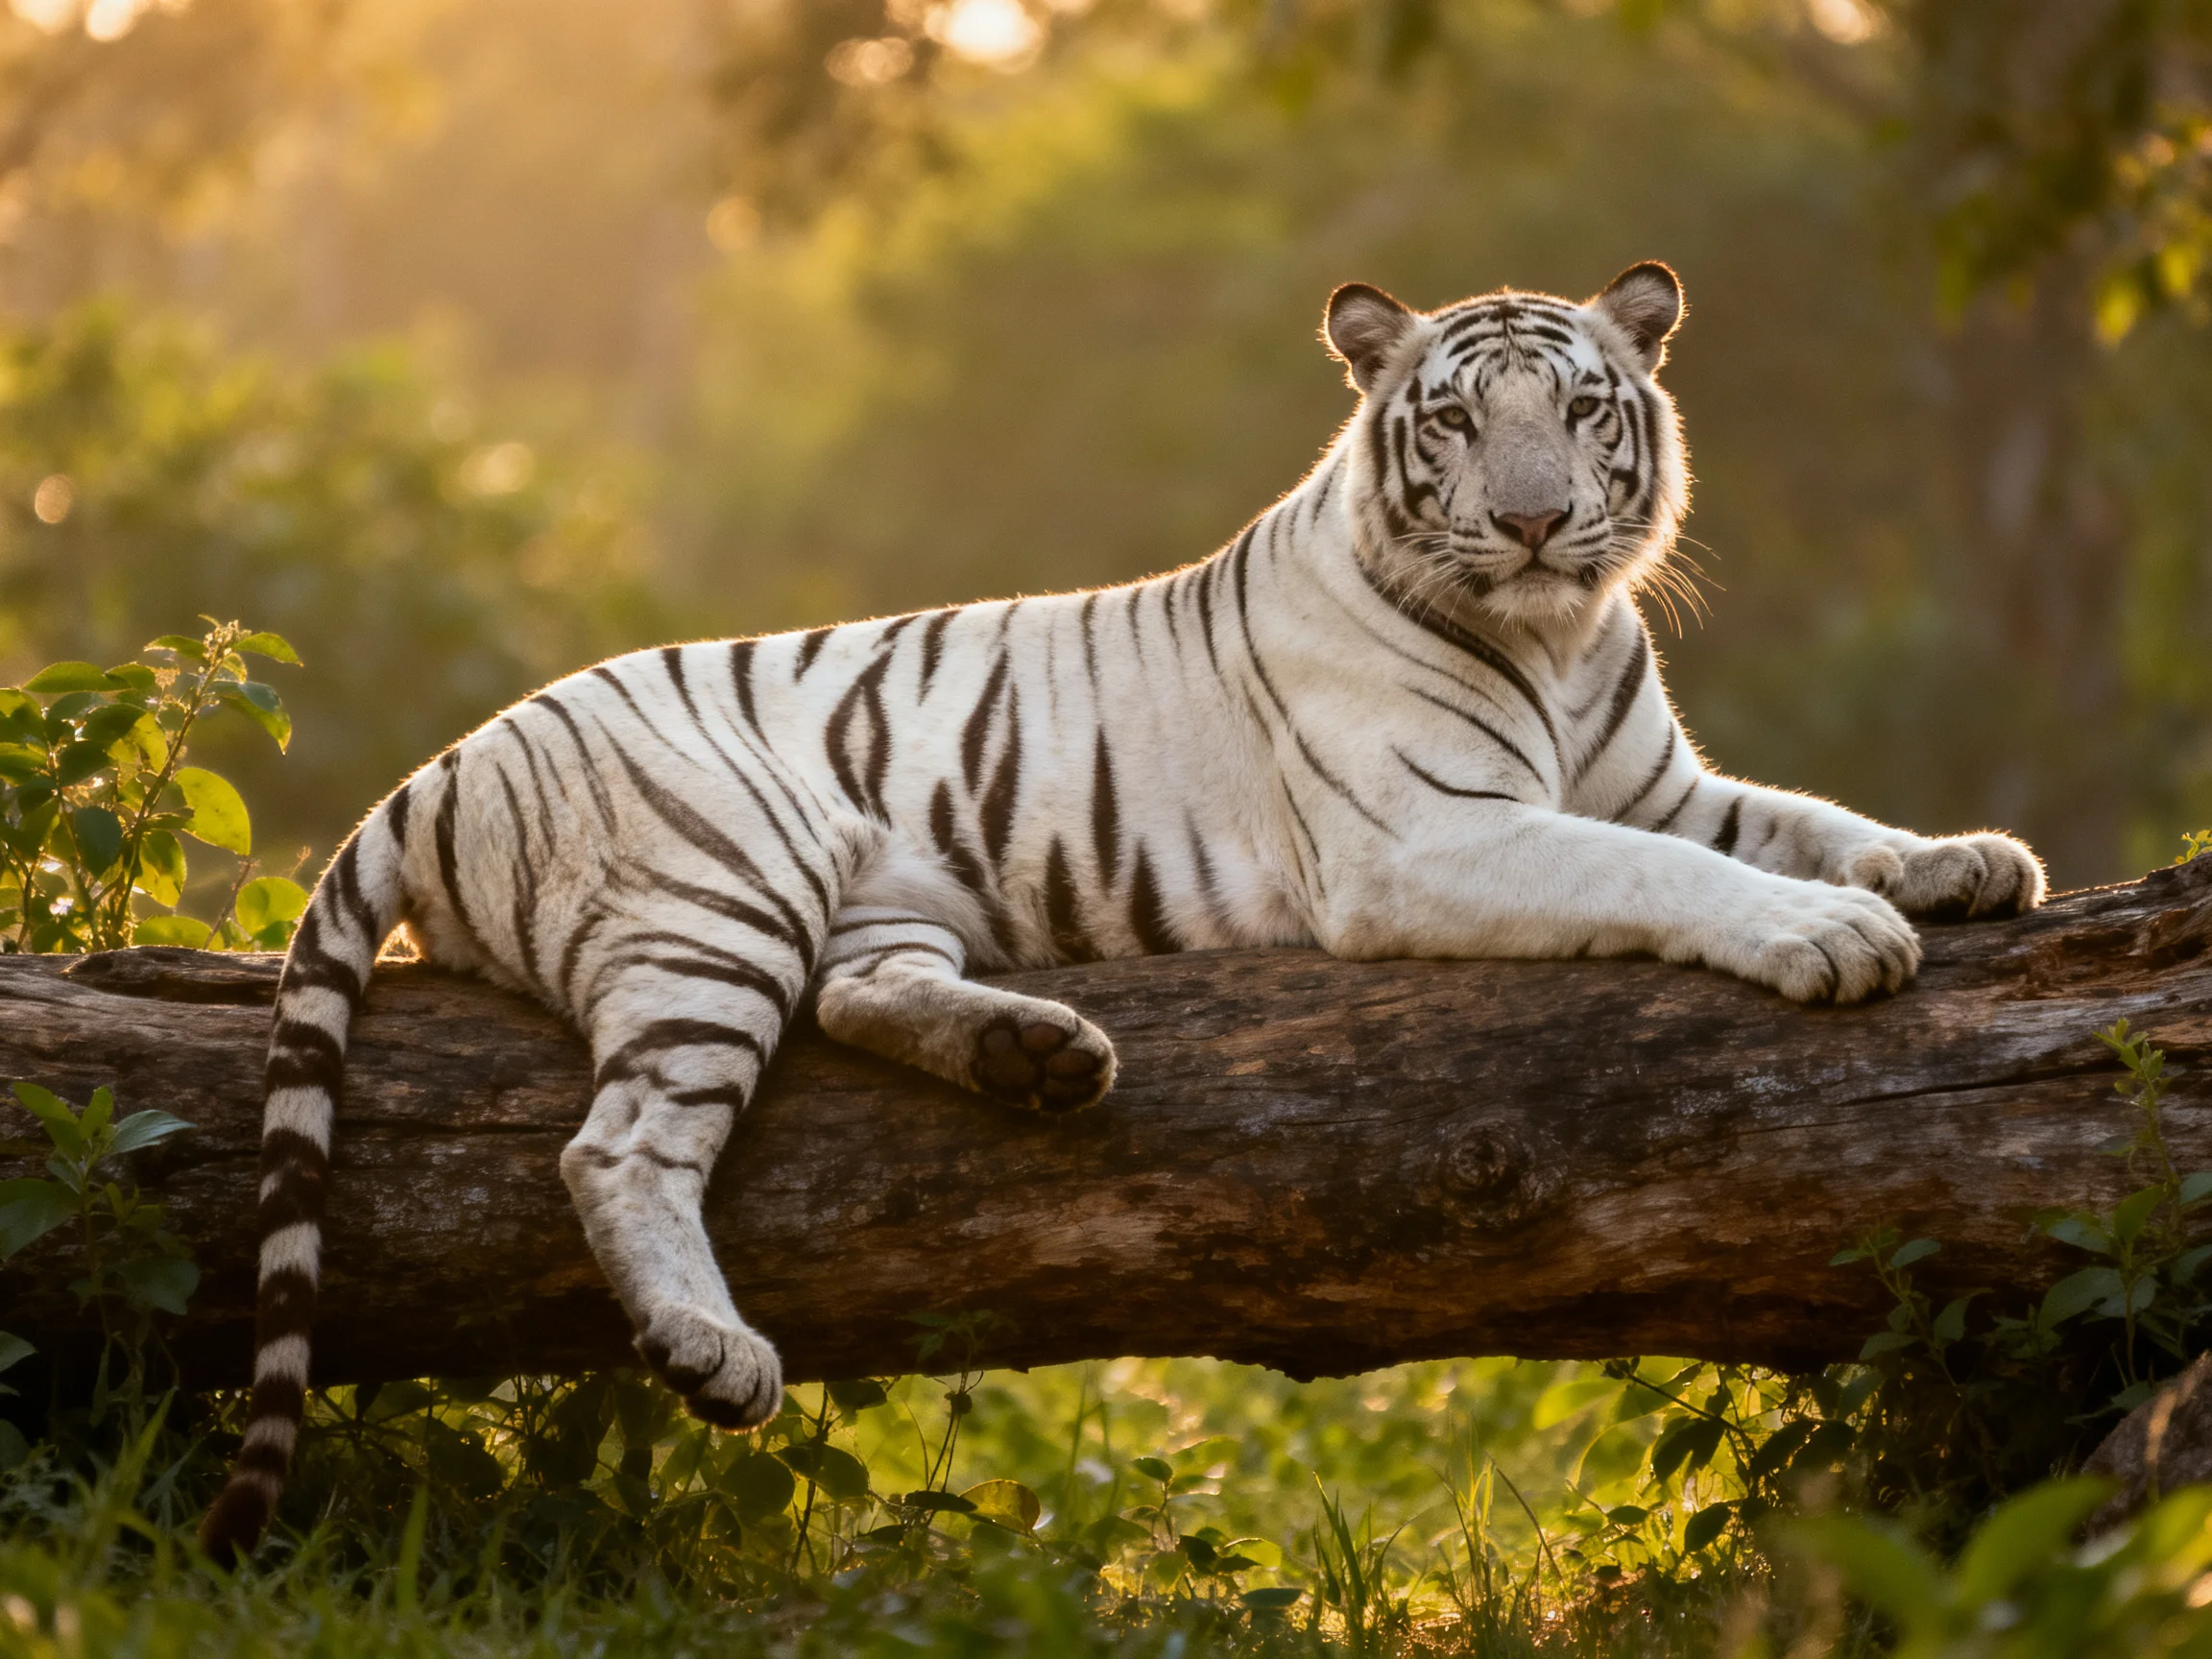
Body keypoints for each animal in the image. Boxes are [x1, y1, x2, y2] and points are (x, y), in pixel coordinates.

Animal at [200, 261, 2044, 1561]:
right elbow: (1685, 877)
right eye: (1456, 422)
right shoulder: (1429, 837)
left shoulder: (1651, 780)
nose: (1532, 521)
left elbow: (1802, 822)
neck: (1560, 633)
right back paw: (716, 1351)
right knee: (617, 1146)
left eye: (1585, 410)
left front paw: (1960, 861)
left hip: (868, 903)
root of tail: (442, 762)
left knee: (857, 1001)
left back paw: (1043, 1058)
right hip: (721, 893)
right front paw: (1830, 940)